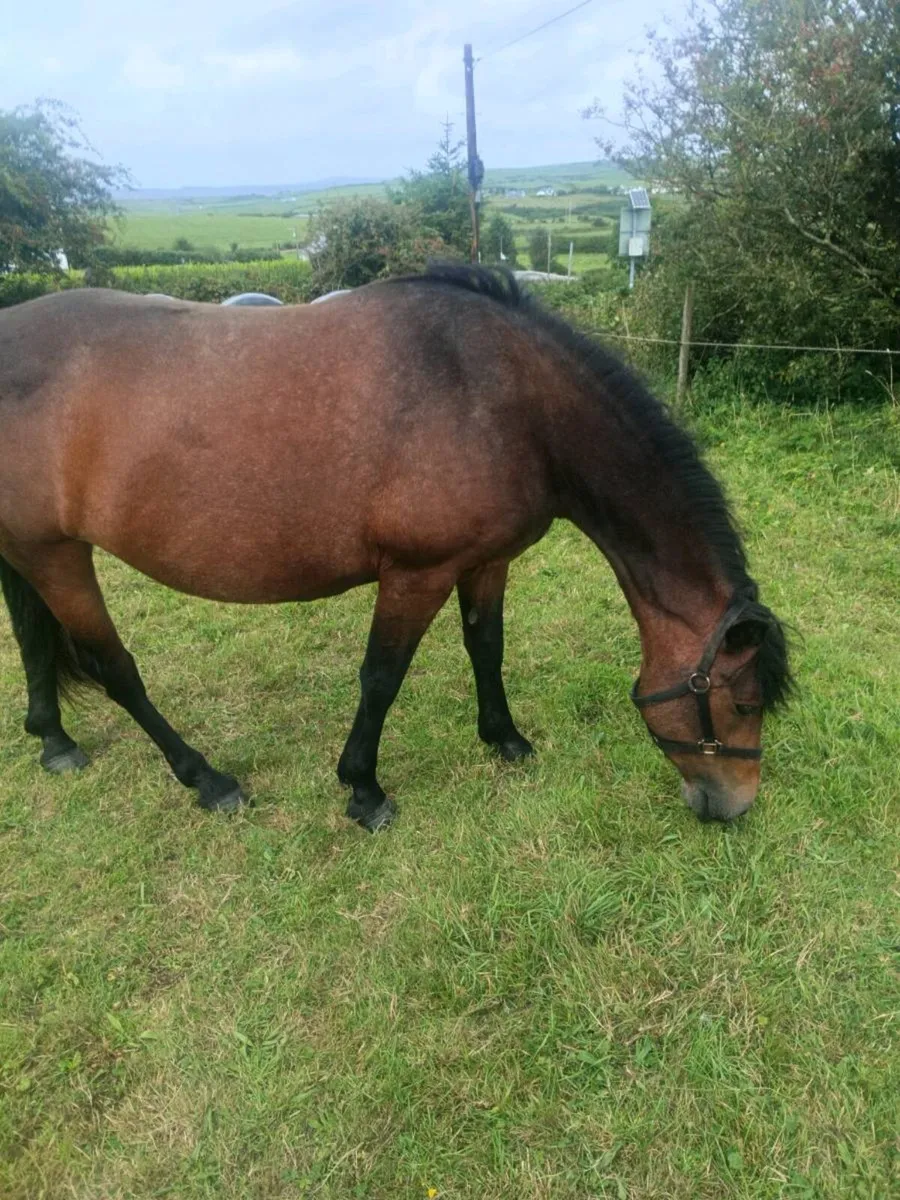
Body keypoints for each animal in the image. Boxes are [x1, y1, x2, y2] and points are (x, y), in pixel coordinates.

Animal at [0, 266, 791, 830]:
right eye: (743, 703)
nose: (735, 805)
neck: (503, 397)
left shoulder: (486, 561)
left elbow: (486, 646)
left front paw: (505, 739)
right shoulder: (417, 573)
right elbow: (381, 677)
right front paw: (364, 790)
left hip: (29, 549)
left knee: (34, 637)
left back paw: (54, 740)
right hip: (58, 554)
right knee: (113, 668)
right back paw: (209, 780)